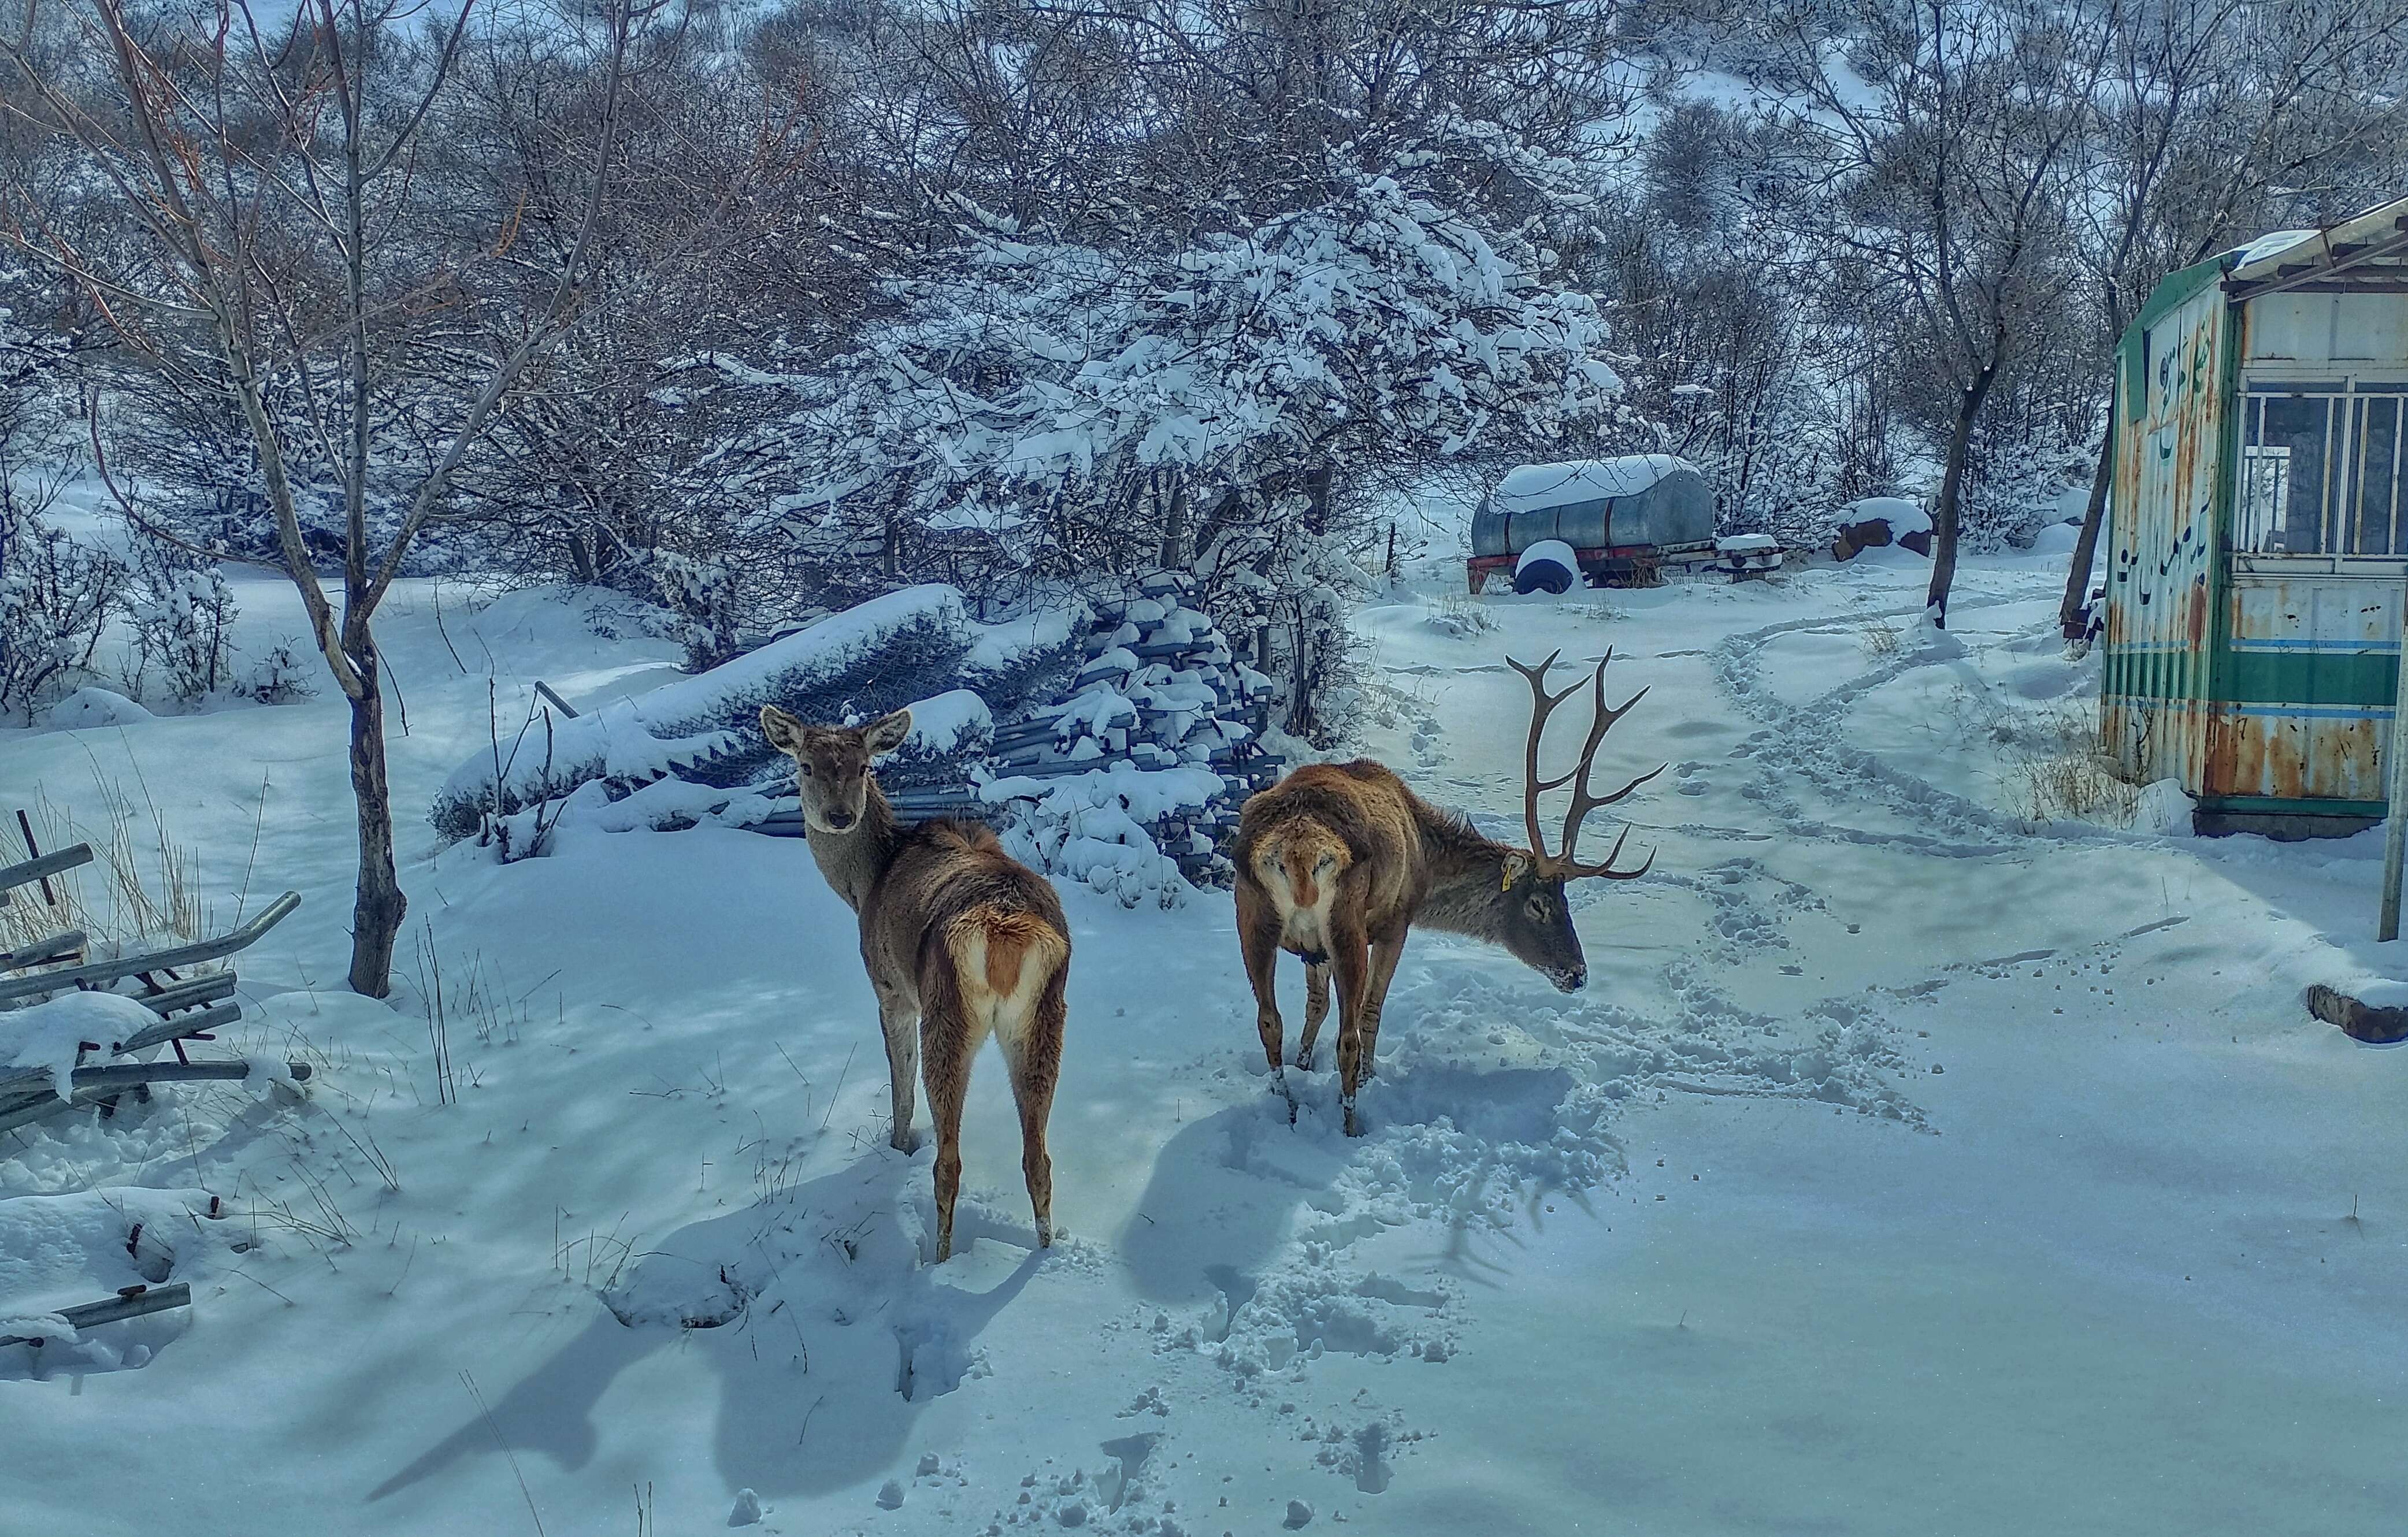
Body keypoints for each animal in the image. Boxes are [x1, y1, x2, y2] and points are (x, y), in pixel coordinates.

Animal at [760, 708, 1074, 1262]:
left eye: (864, 767)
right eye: (805, 765)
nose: (839, 815)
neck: (863, 885)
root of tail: (1005, 929)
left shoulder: (890, 988)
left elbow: (898, 1082)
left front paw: (898, 1146)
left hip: (945, 1007)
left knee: (949, 1160)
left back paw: (939, 1258)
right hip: (1045, 1015)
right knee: (1038, 1158)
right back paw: (1042, 1252)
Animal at [1233, 645, 1666, 1137]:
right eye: (1538, 904)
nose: (1577, 974)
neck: (1426, 857)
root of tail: (1299, 847)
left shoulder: (1314, 949)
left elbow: (1315, 1006)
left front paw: (1305, 1066)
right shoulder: (1395, 922)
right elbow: (1370, 1013)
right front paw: (1370, 1077)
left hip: (1251, 914)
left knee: (1269, 1020)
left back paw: (1286, 1108)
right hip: (1345, 923)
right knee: (1347, 1035)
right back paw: (1351, 1123)